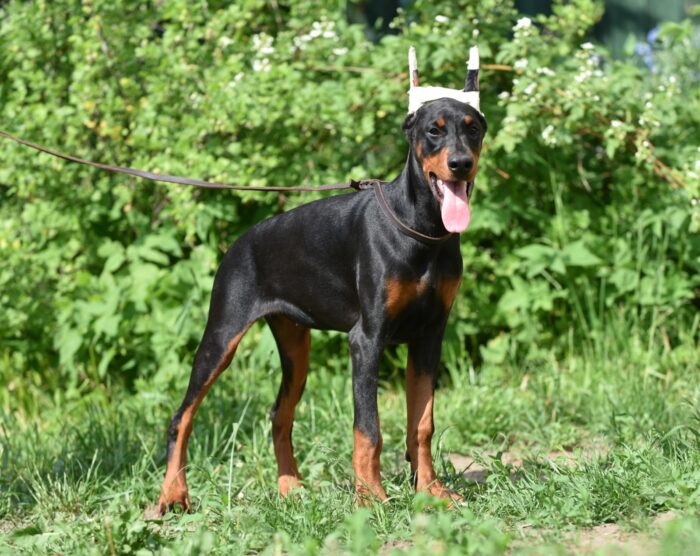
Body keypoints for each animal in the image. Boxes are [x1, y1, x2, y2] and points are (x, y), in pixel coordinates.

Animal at [156, 50, 487, 513]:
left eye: (472, 128)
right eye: (433, 131)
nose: (460, 164)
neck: (421, 230)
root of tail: (239, 243)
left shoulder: (429, 336)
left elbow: (421, 424)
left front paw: (432, 492)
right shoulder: (367, 339)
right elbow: (368, 429)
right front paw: (371, 499)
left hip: (296, 344)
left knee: (279, 415)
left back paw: (290, 488)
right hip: (222, 334)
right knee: (181, 416)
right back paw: (173, 494)